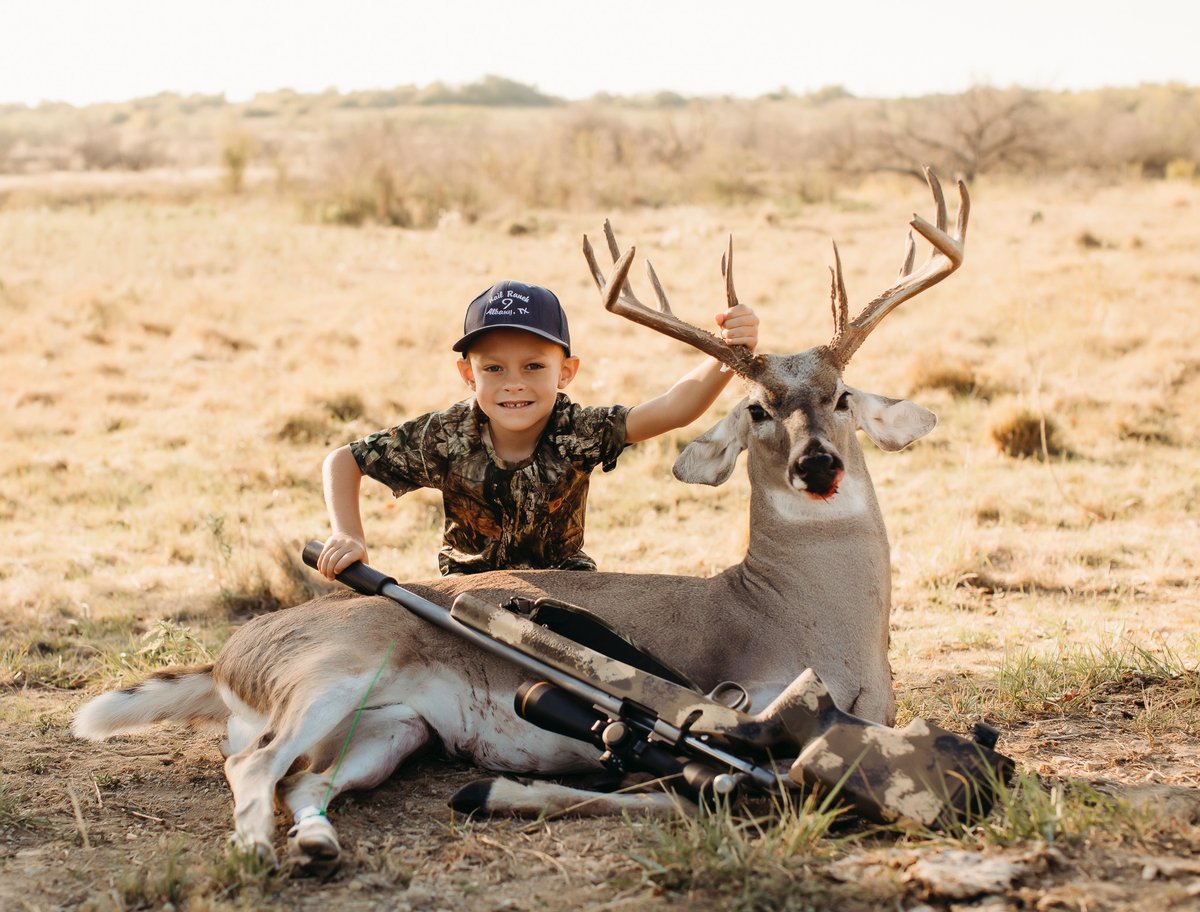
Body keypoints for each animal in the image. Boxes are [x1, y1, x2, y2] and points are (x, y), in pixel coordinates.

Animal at [71, 168, 969, 870]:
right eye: (756, 409)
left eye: (842, 397)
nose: (818, 465)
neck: (806, 613)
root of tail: (229, 655)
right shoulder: (745, 714)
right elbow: (715, 789)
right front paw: (503, 789)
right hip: (331, 674)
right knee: (254, 769)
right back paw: (259, 853)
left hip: (387, 733)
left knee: (305, 783)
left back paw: (319, 846)